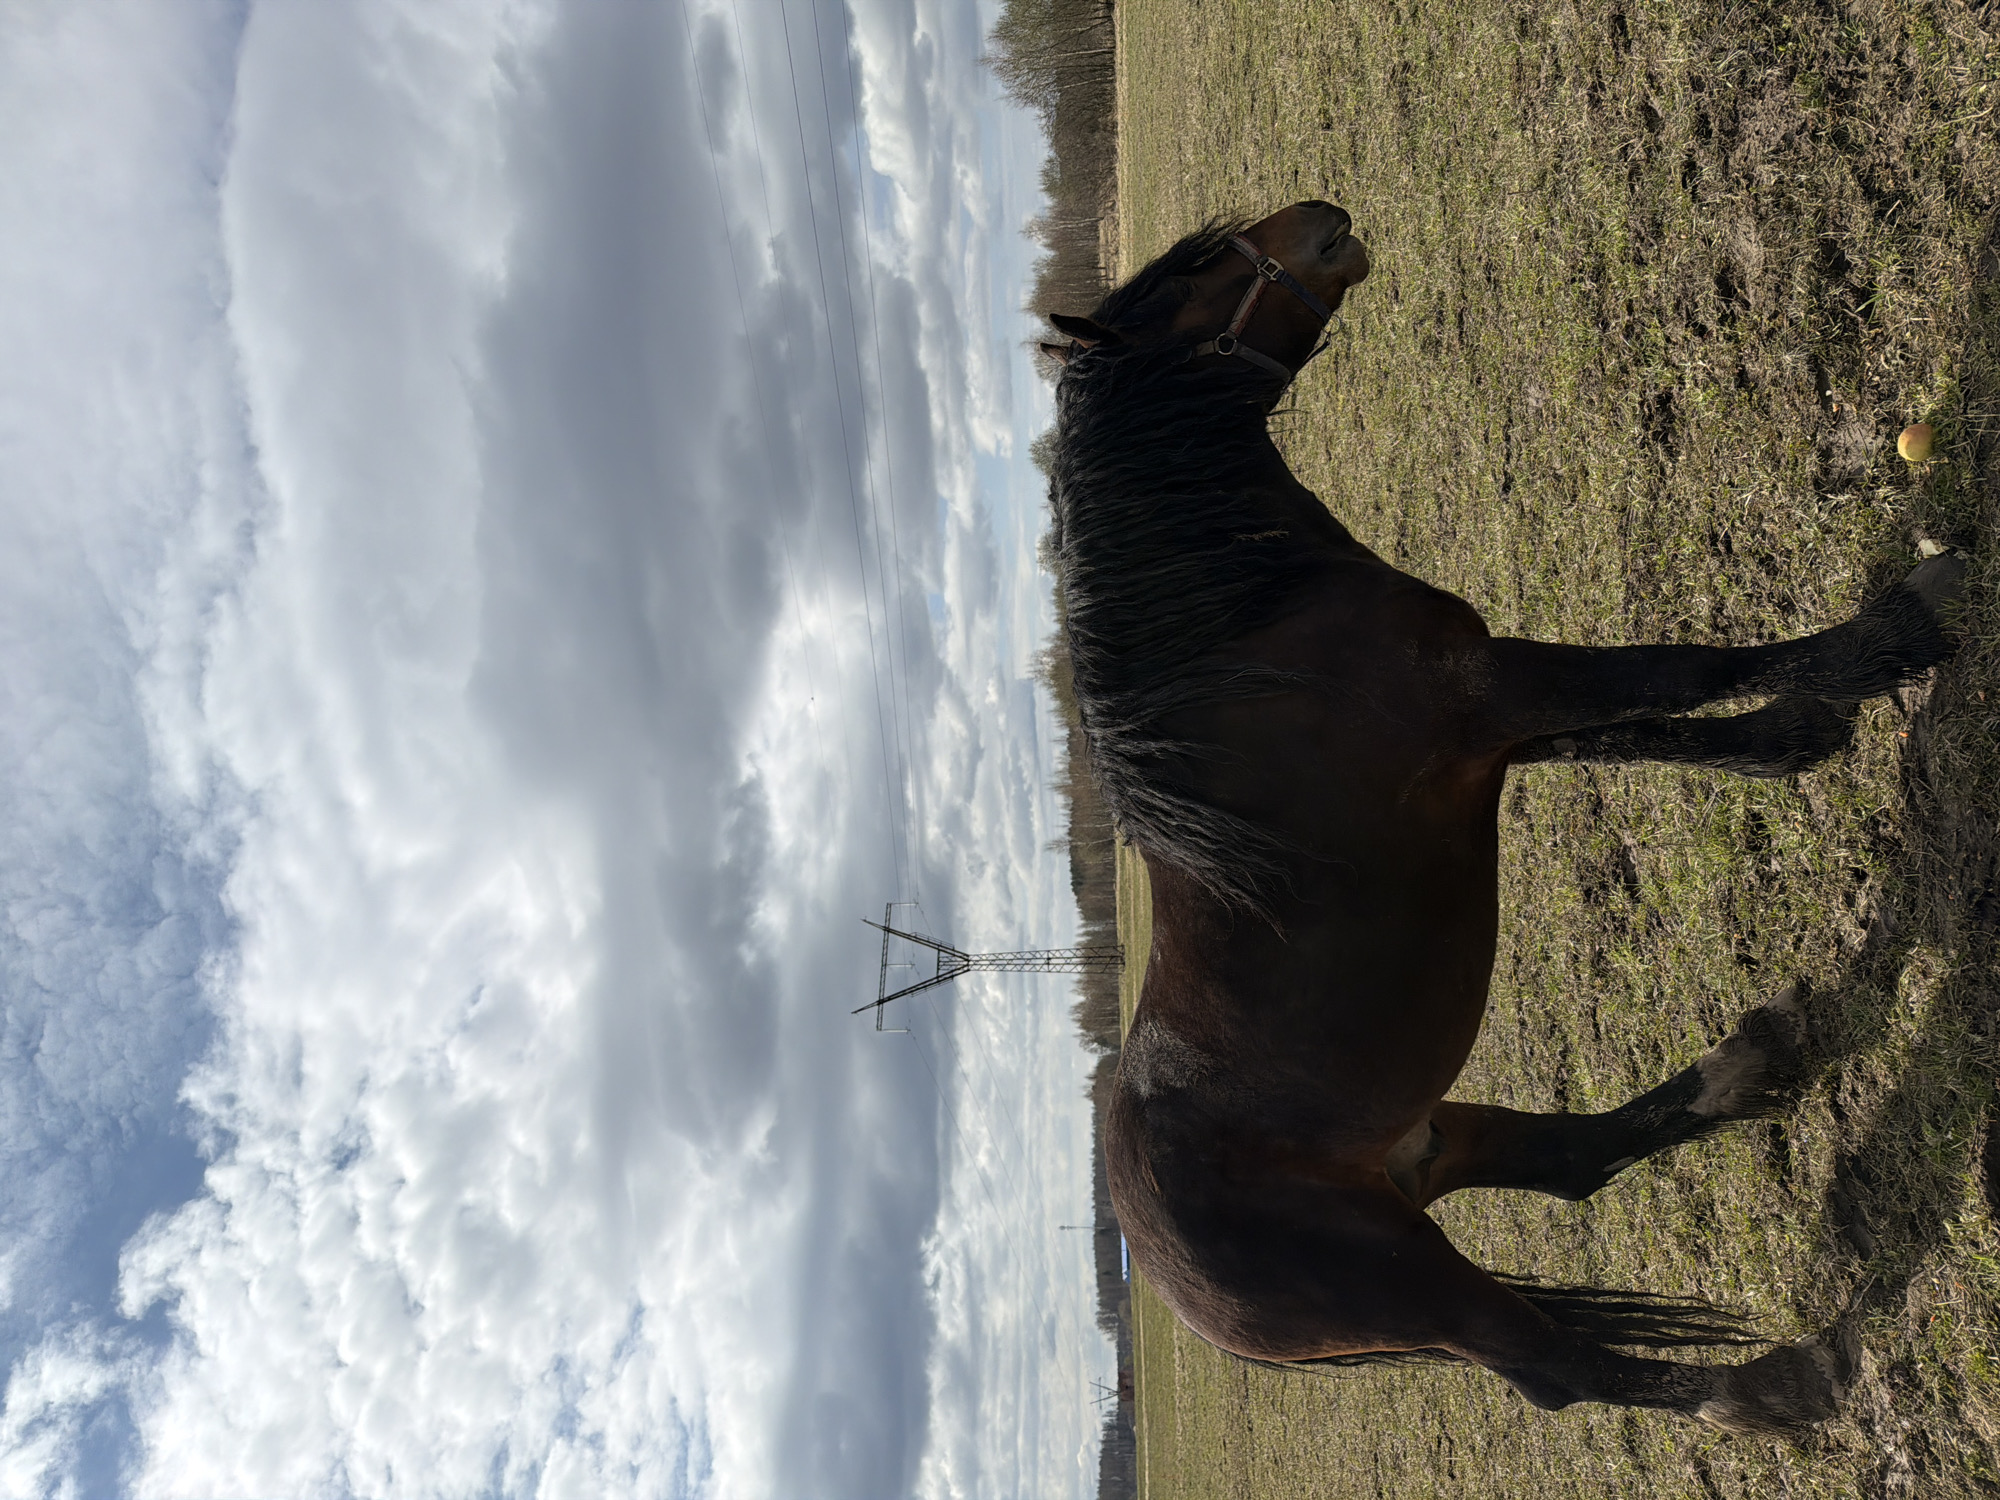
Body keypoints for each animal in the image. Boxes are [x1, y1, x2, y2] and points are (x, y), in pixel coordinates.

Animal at [1042, 199, 1964, 1433]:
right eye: (1197, 272)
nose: (1323, 219)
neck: (1251, 636)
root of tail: (1171, 1287)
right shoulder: (1494, 695)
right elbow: (1679, 669)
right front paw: (1892, 636)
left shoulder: (1494, 737)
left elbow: (1648, 728)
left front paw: (1799, 733)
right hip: (1410, 1278)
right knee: (1559, 1370)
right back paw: (1773, 1384)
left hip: (1422, 1147)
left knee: (1568, 1164)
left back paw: (1747, 1067)